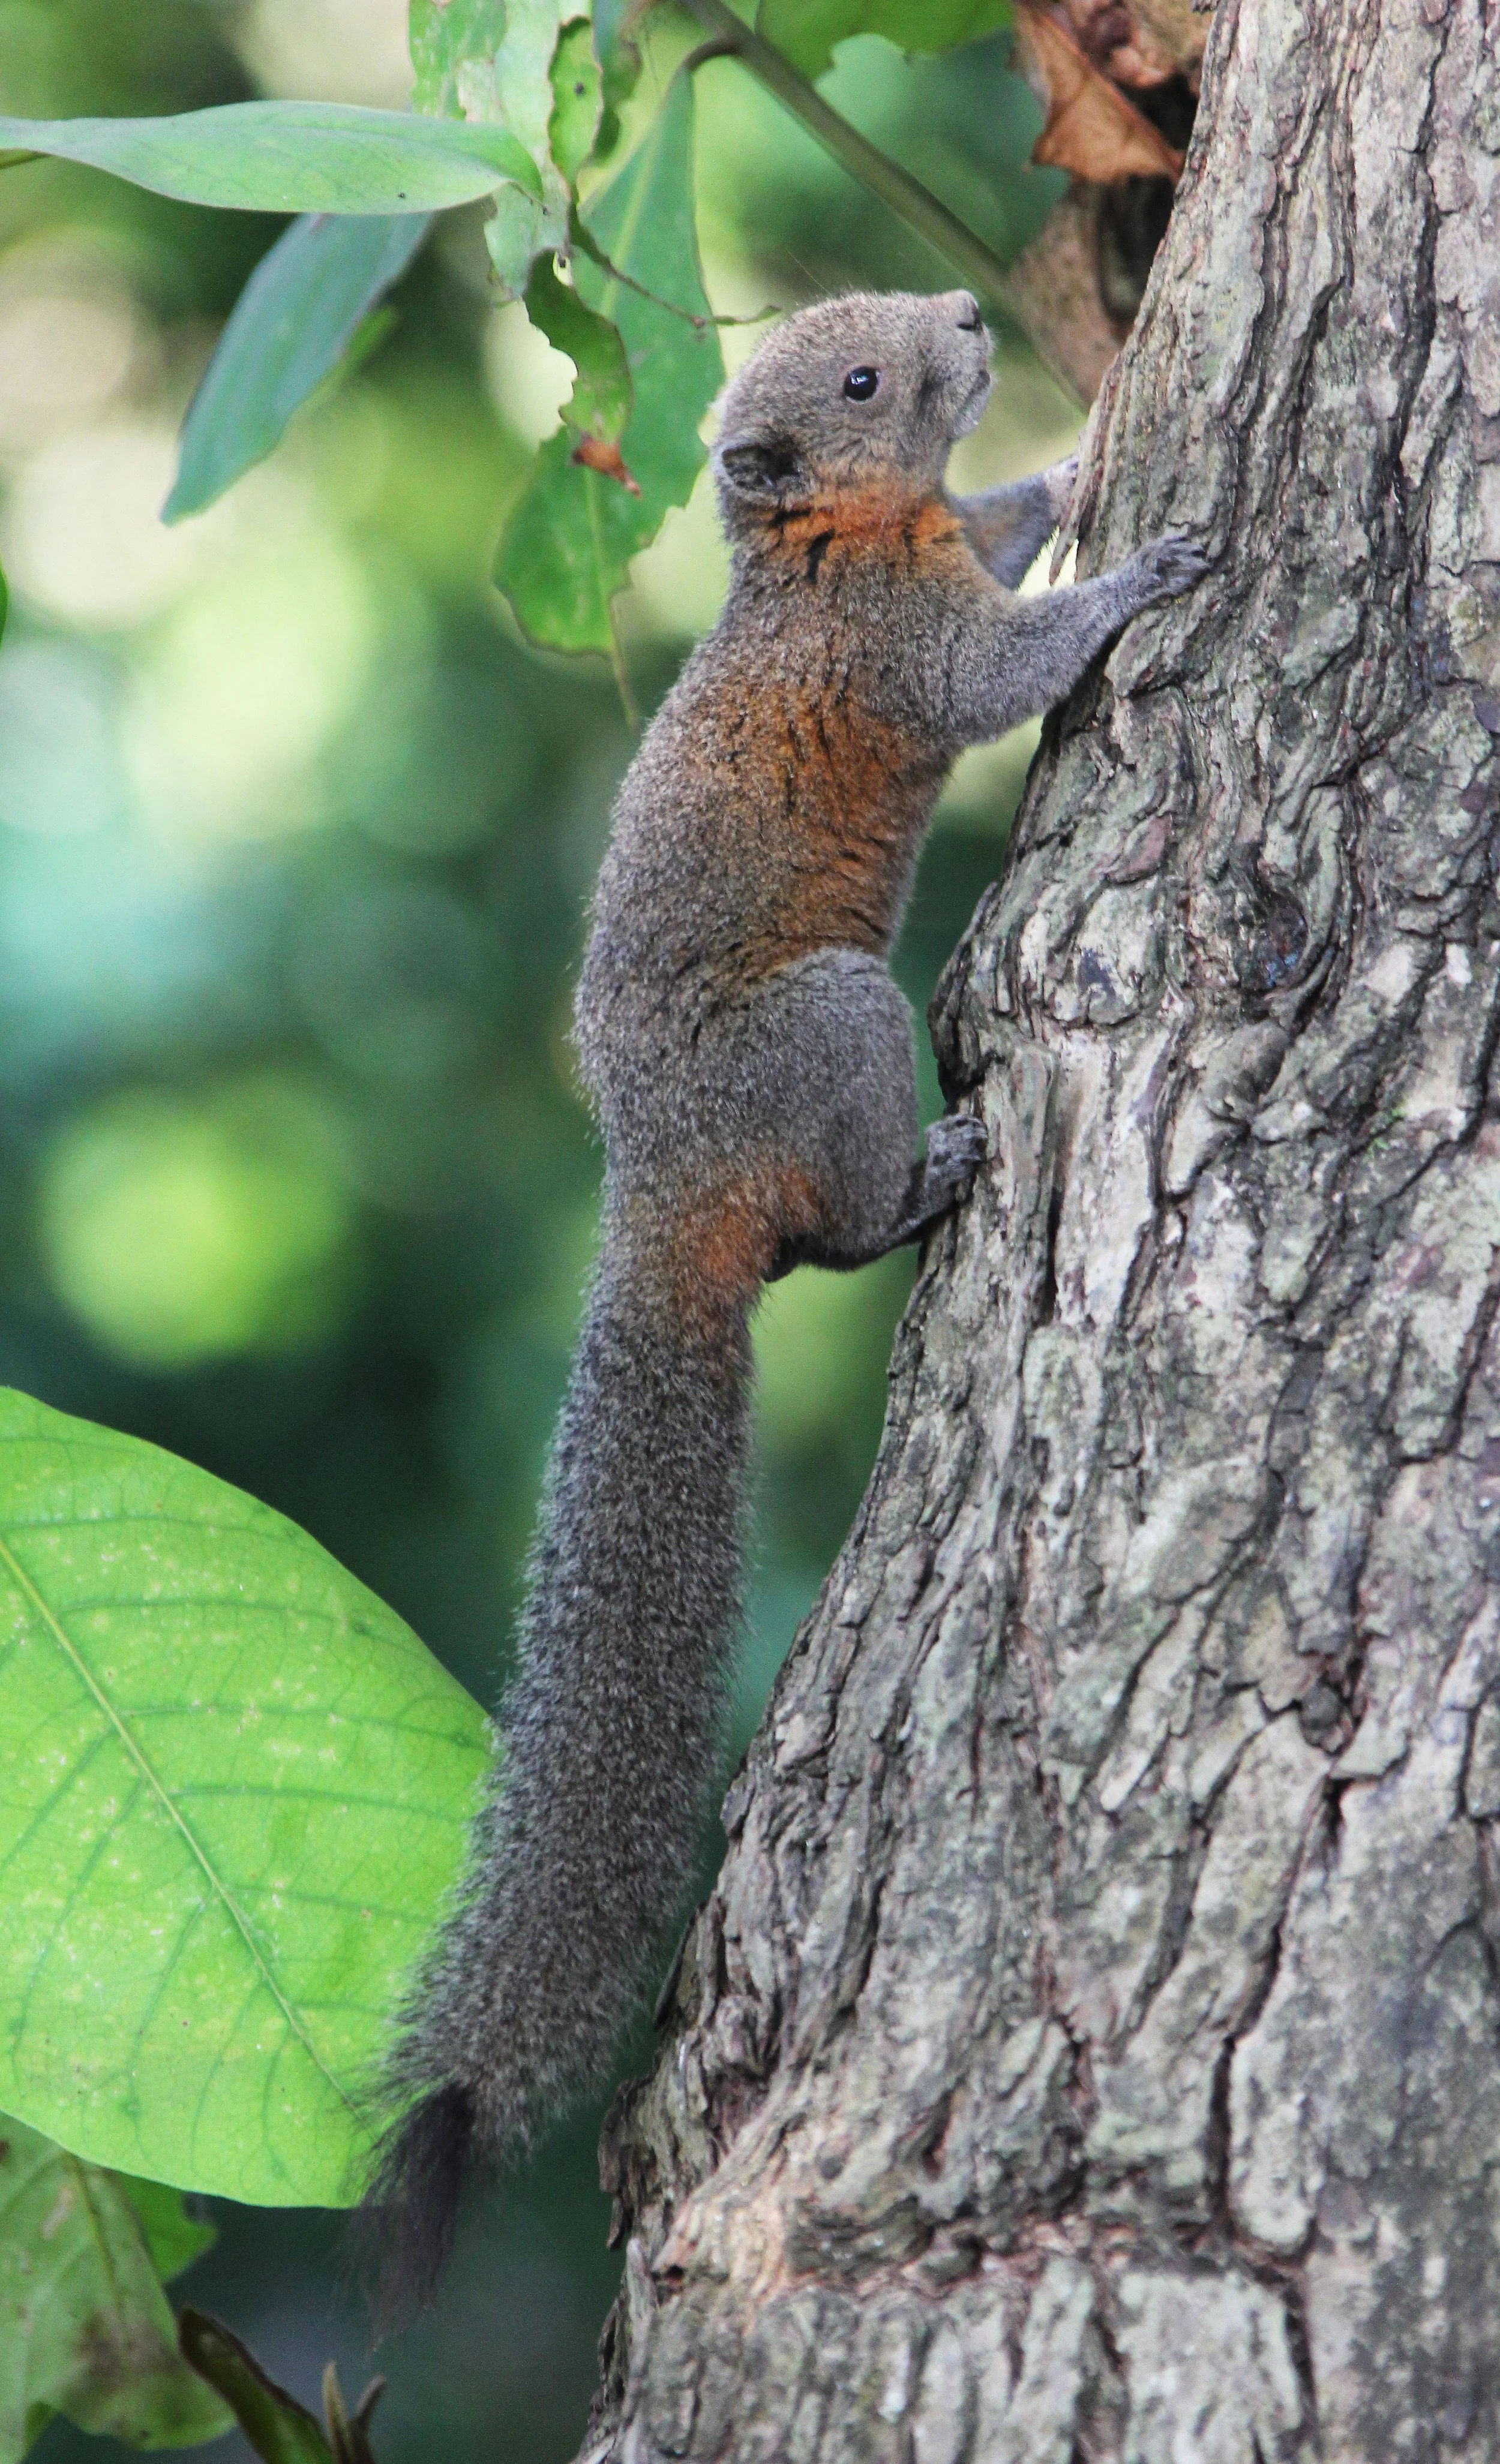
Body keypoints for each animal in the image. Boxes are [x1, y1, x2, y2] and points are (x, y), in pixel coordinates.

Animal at [366, 289, 1209, 2311]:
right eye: (853, 376)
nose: (971, 312)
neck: (825, 552)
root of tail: (660, 1190)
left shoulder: (940, 545)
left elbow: (1003, 518)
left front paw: (1079, 447)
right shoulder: (906, 656)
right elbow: (1006, 669)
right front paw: (1141, 563)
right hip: (832, 1027)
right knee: (829, 1233)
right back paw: (932, 1174)